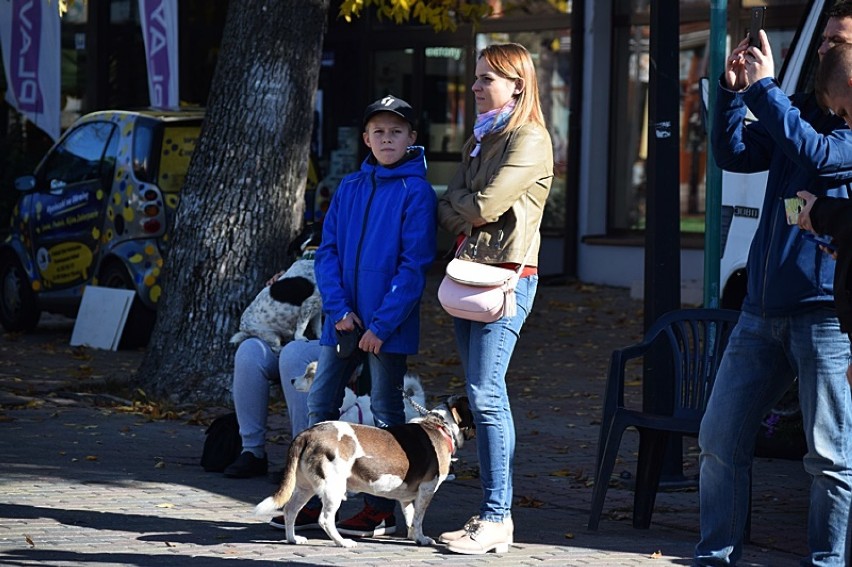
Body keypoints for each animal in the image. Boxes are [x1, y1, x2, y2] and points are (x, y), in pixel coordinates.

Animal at [256, 394, 476, 552]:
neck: (441, 426)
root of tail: (306, 434)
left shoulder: (406, 497)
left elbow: (411, 518)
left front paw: (415, 537)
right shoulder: (427, 490)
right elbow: (419, 519)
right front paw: (421, 539)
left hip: (305, 487)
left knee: (290, 510)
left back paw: (293, 539)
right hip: (333, 488)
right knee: (325, 520)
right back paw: (343, 542)